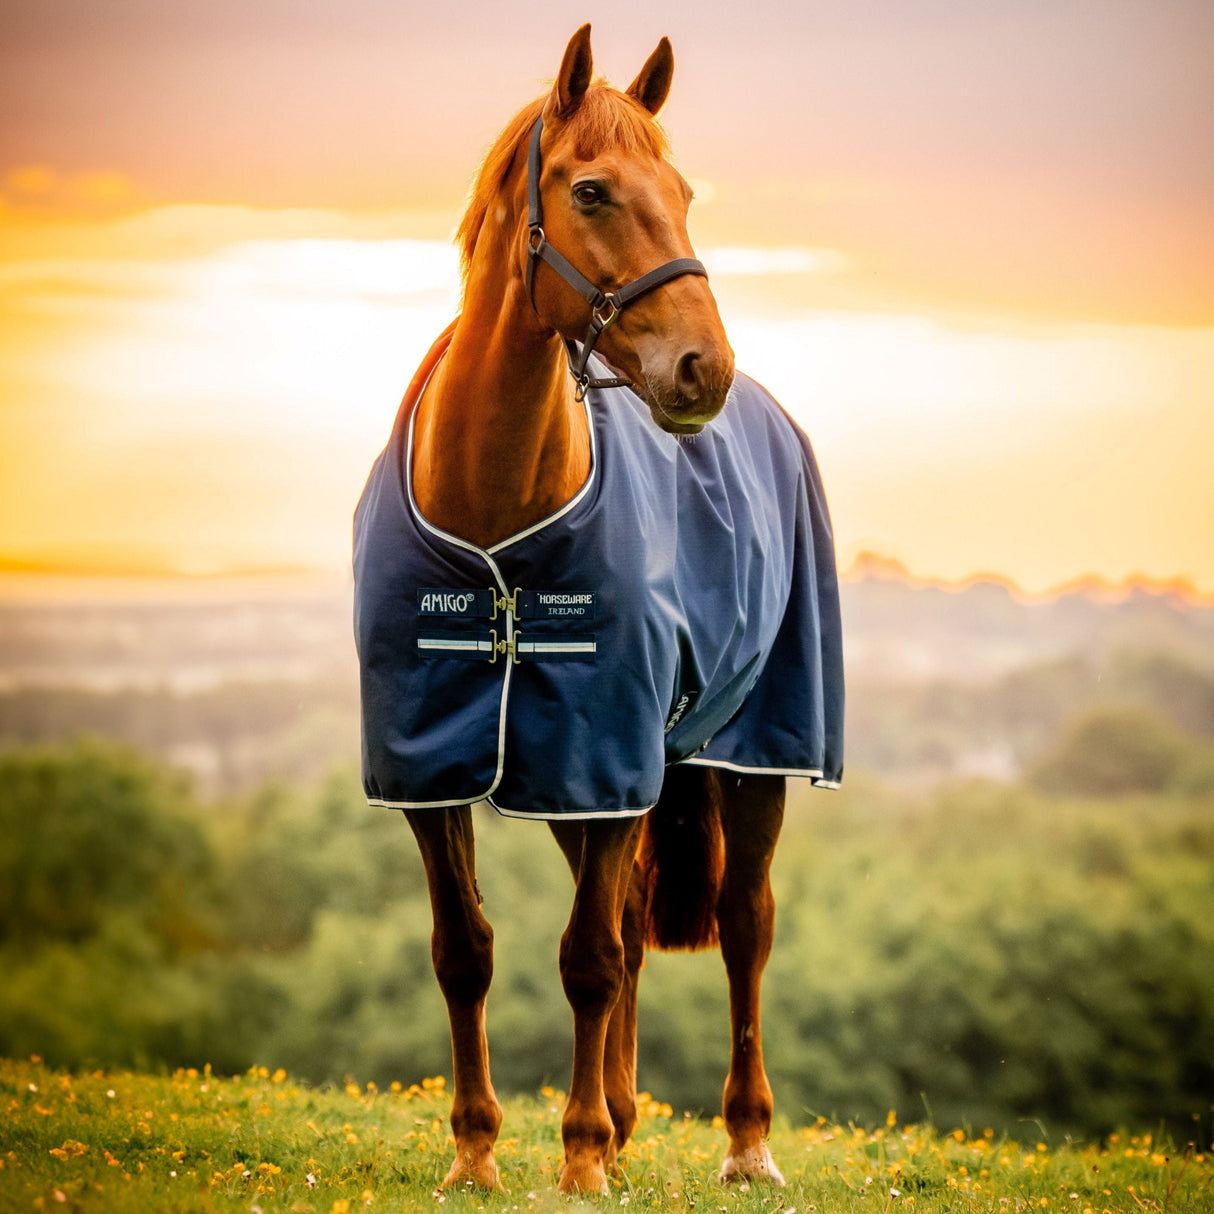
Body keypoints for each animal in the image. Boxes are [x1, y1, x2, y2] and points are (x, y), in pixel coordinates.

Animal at [353, 24, 844, 1195]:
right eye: (590, 189)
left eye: (684, 190)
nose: (702, 369)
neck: (494, 516)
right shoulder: (441, 766)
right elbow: (466, 951)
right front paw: (477, 1153)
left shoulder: (608, 753)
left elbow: (588, 957)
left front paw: (575, 1160)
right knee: (622, 916)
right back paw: (620, 1118)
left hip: (749, 753)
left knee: (743, 924)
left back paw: (743, 1140)